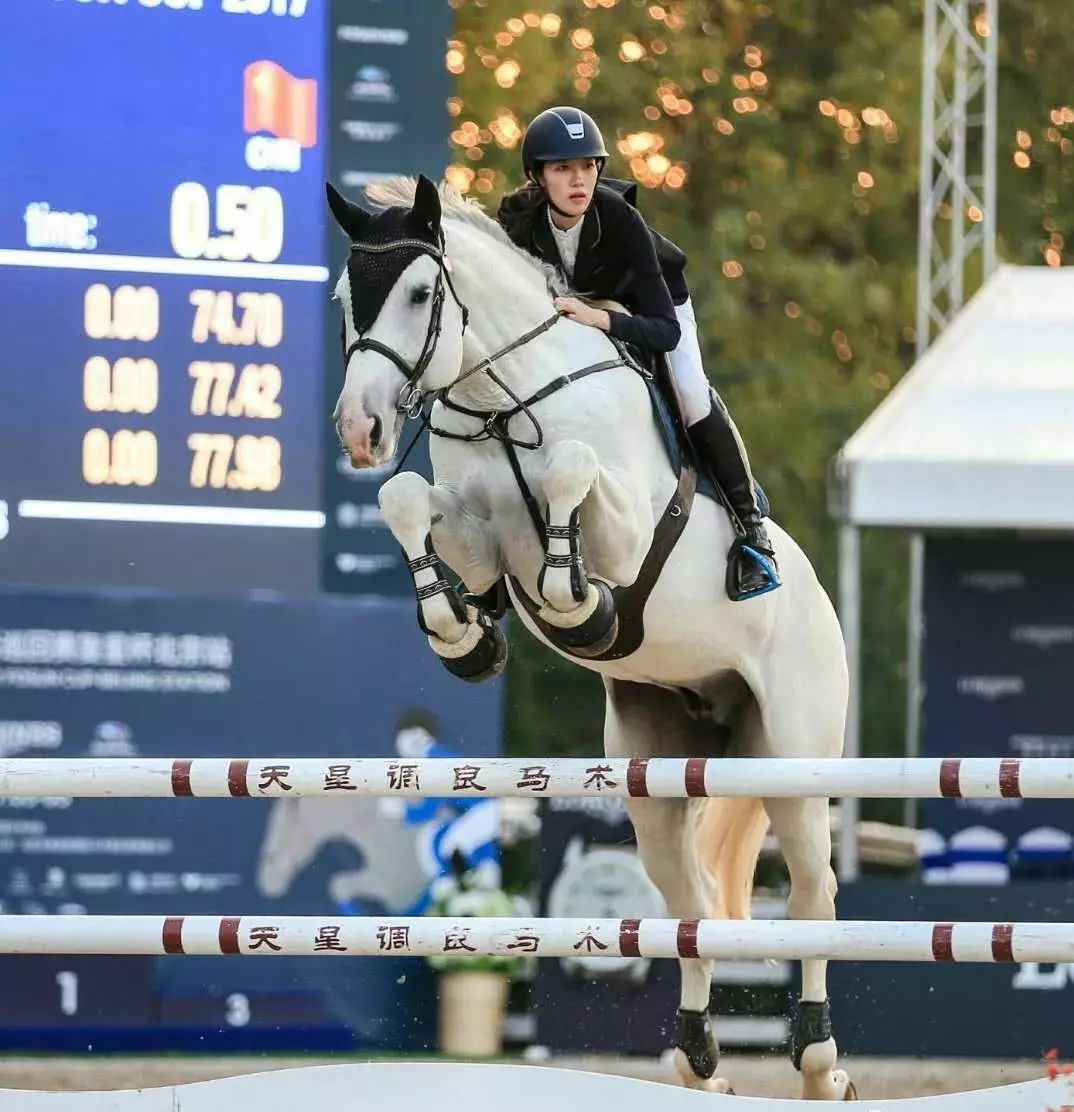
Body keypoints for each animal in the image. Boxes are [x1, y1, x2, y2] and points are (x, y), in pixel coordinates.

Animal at [326, 177, 858, 1098]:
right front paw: (466, 637)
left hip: (793, 756)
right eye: (343, 301)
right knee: (689, 906)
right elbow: (409, 508)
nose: (360, 431)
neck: (504, 403)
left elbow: (570, 472)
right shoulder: (472, 535)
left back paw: (822, 1066)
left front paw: (585, 606)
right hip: (656, 770)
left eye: (422, 294)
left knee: (811, 899)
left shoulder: (627, 523)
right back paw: (699, 1063)